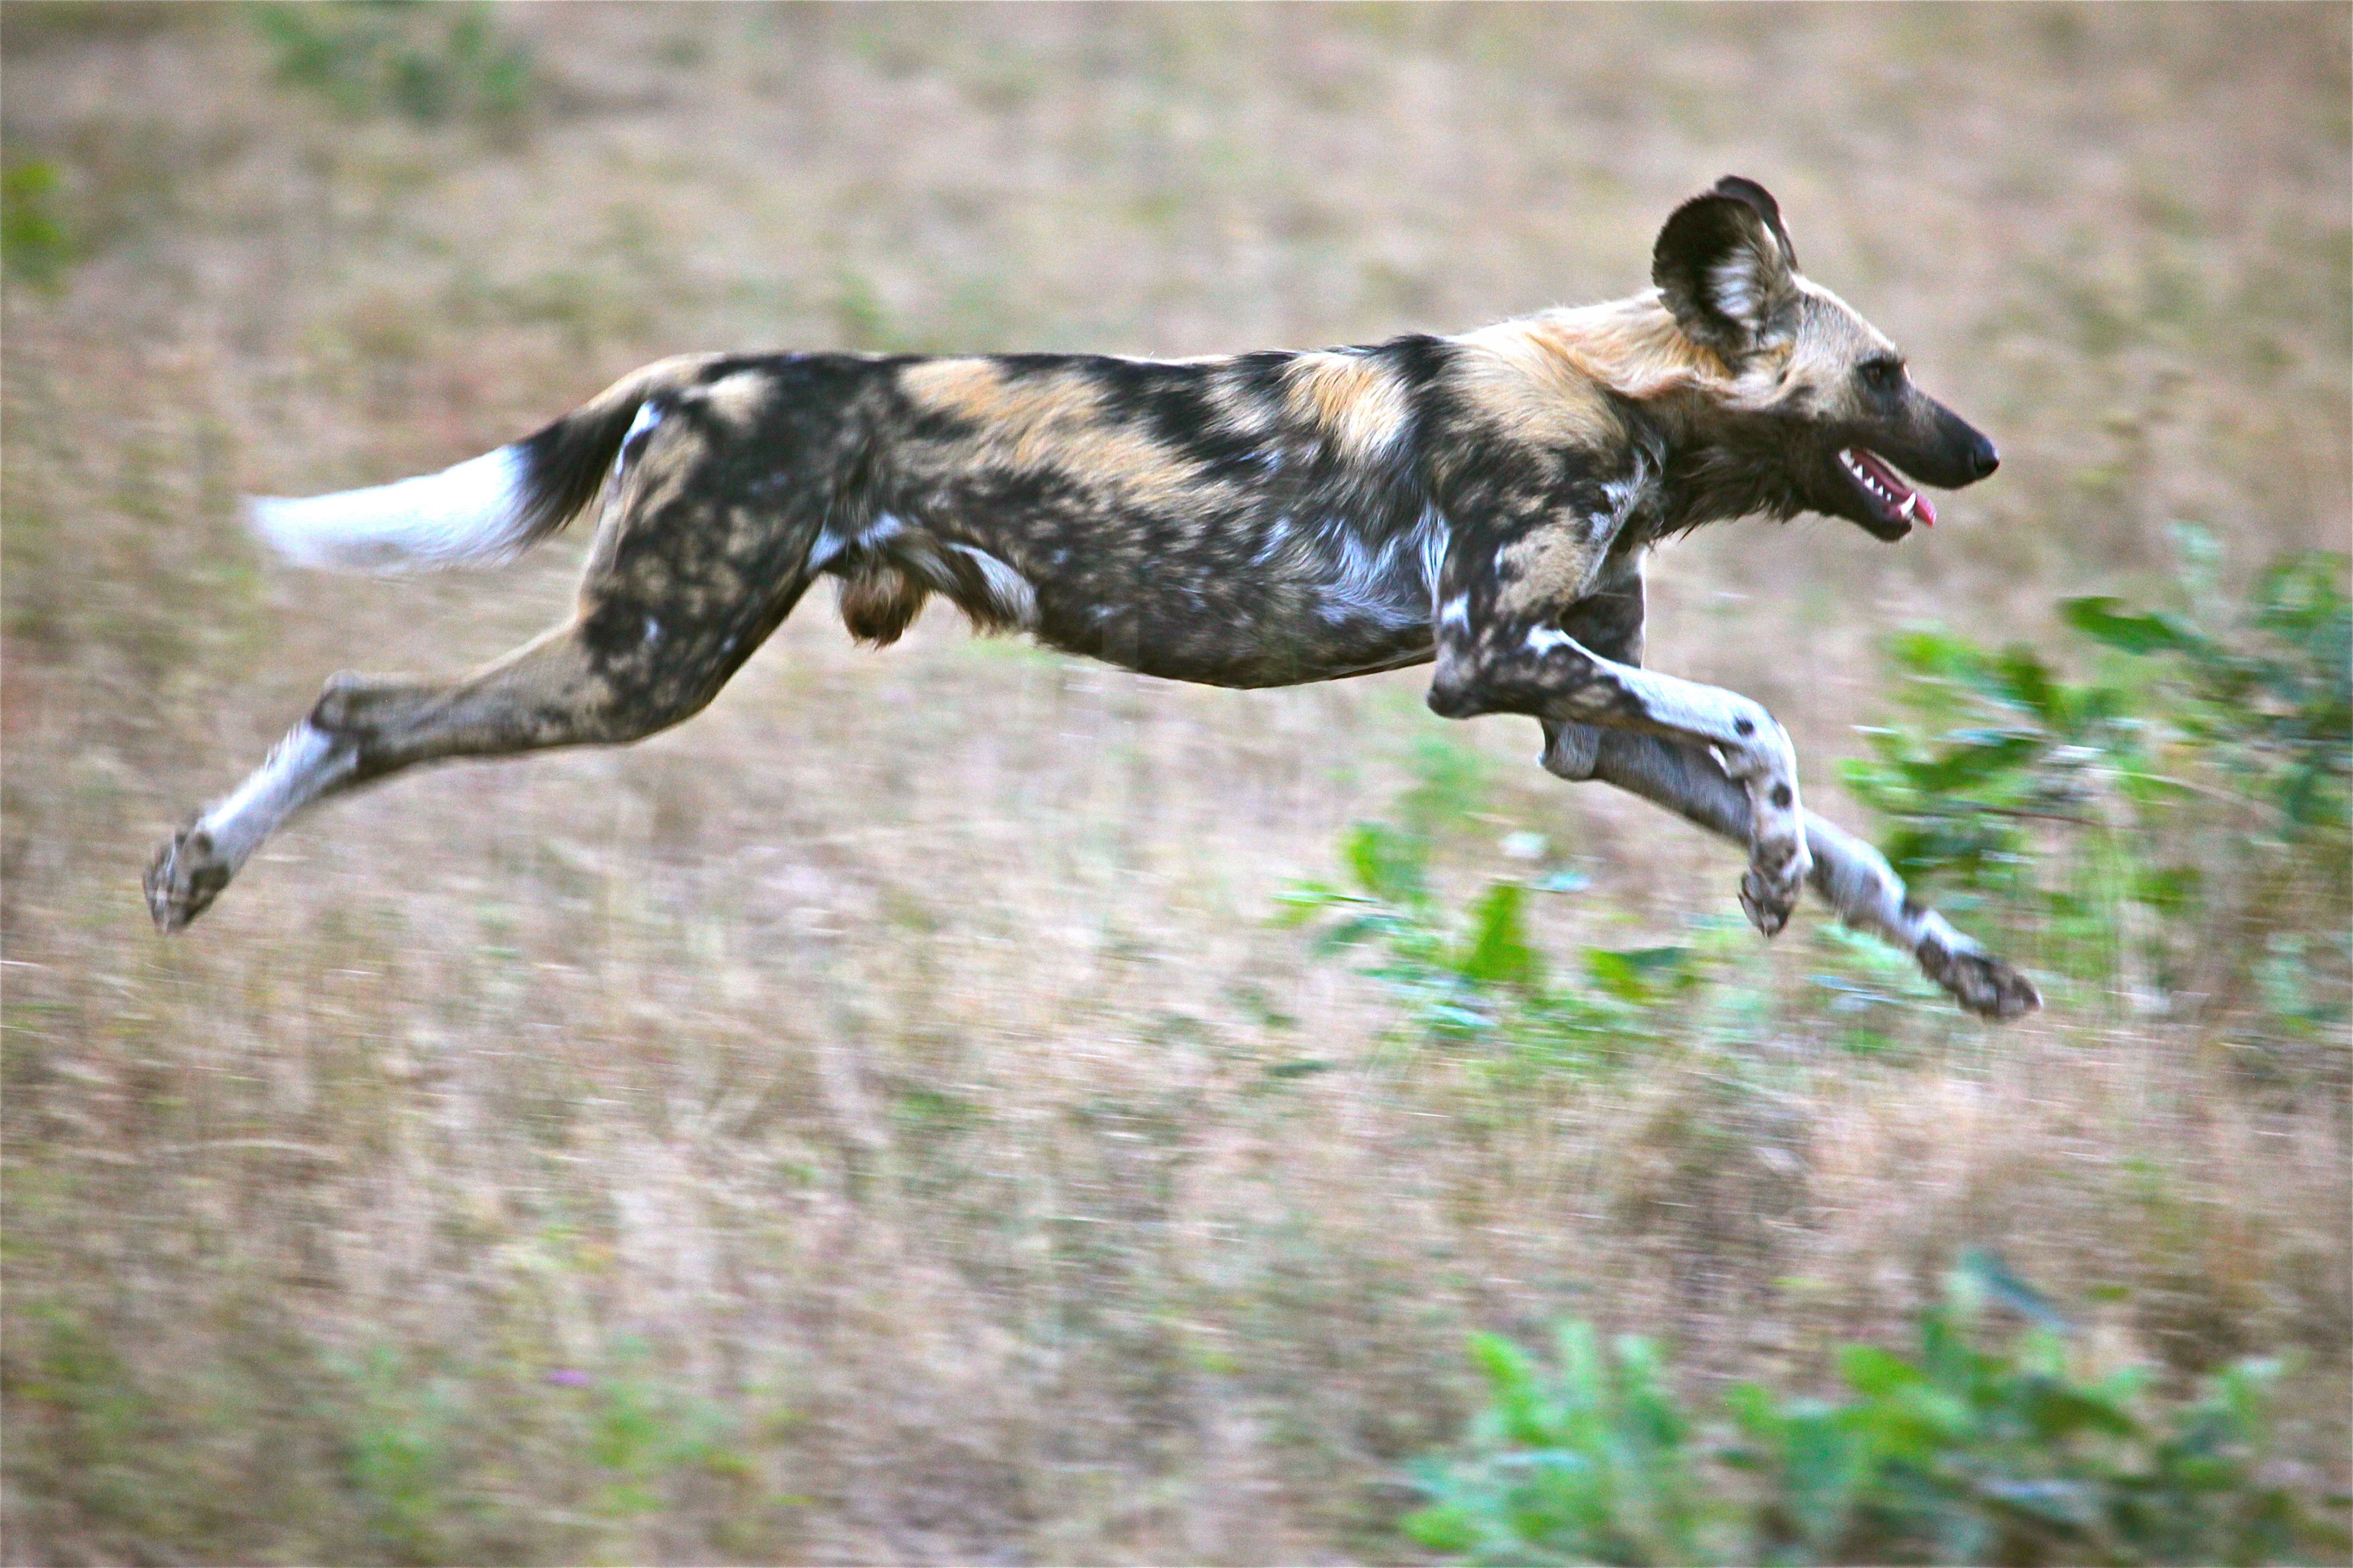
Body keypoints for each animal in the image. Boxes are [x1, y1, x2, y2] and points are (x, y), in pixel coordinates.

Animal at [146, 176, 2038, 1019]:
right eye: (1888, 376)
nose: (1986, 450)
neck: (1625, 399)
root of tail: (715, 371)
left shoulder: (1579, 719)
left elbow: (1848, 841)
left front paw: (1955, 960)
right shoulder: (1493, 659)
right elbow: (1766, 727)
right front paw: (1778, 875)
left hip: (638, 658)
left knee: (362, 713)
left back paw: (195, 868)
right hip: (646, 663)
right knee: (360, 708)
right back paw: (195, 863)